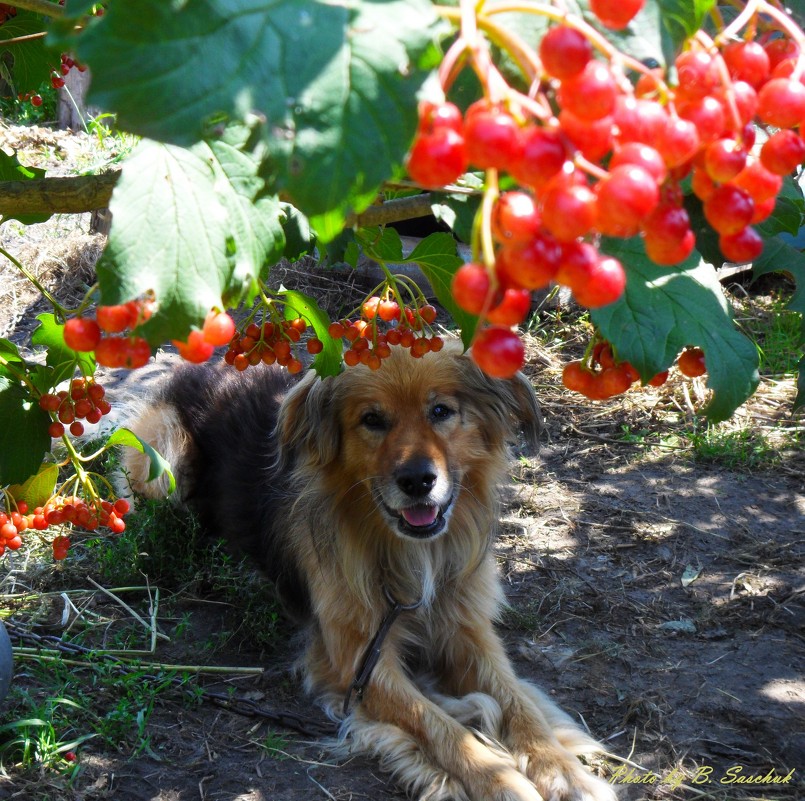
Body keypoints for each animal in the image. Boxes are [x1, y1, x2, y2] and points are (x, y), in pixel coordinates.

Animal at [122, 340, 616, 800]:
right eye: (372, 420)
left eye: (441, 411)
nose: (417, 481)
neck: (409, 553)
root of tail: (206, 364)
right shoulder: (359, 662)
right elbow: (436, 724)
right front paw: (498, 778)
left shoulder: (468, 632)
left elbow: (517, 701)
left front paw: (564, 771)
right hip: (162, 459)